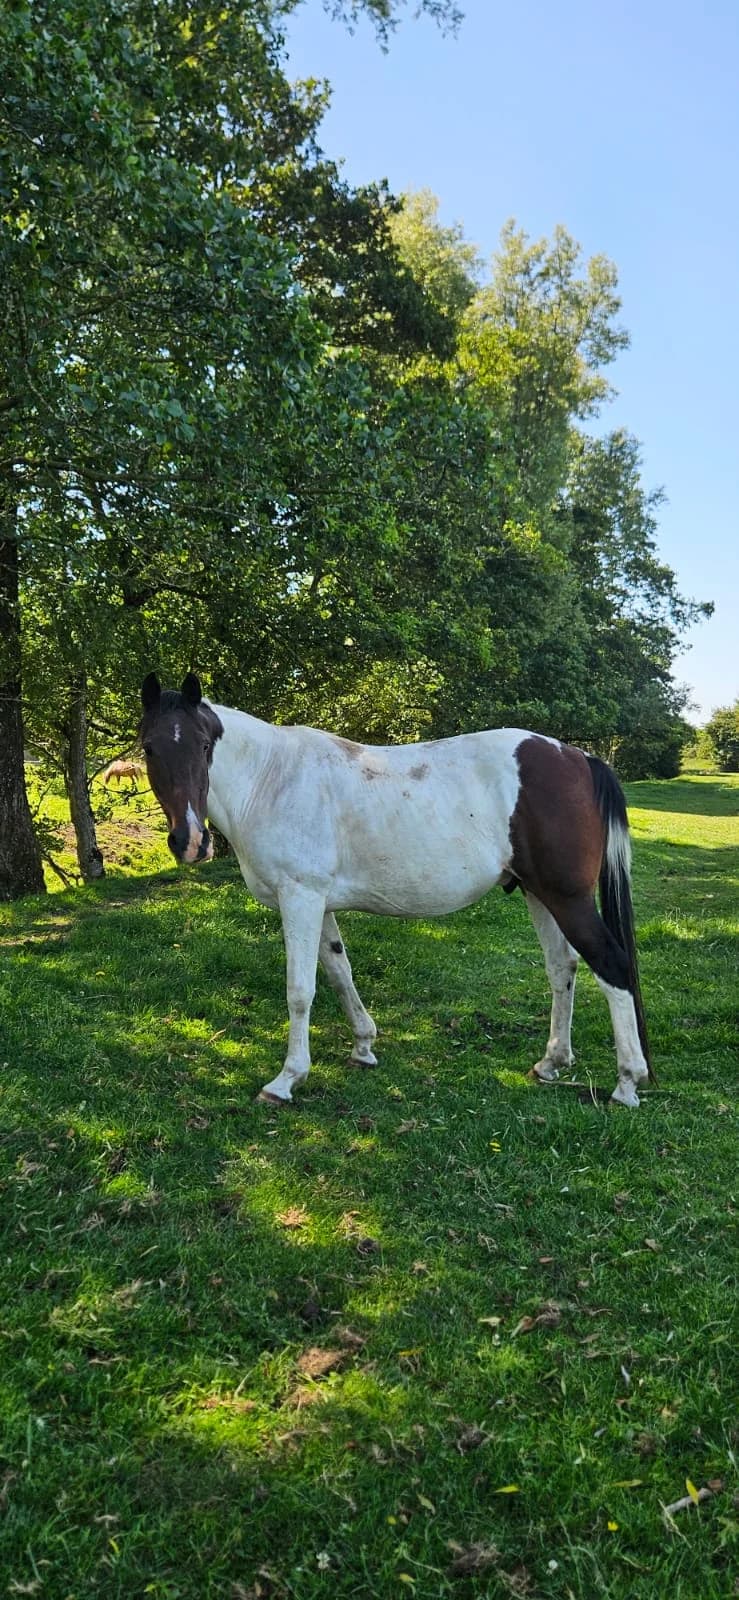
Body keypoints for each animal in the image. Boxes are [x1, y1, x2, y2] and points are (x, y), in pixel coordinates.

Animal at [139, 672, 652, 1109]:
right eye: (149, 748)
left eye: (205, 744)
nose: (190, 841)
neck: (271, 779)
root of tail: (578, 758)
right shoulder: (319, 904)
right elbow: (339, 971)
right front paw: (363, 1046)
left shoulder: (300, 898)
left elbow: (300, 989)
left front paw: (286, 1079)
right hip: (538, 894)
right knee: (562, 967)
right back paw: (552, 1062)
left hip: (567, 899)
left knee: (611, 965)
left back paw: (627, 1082)